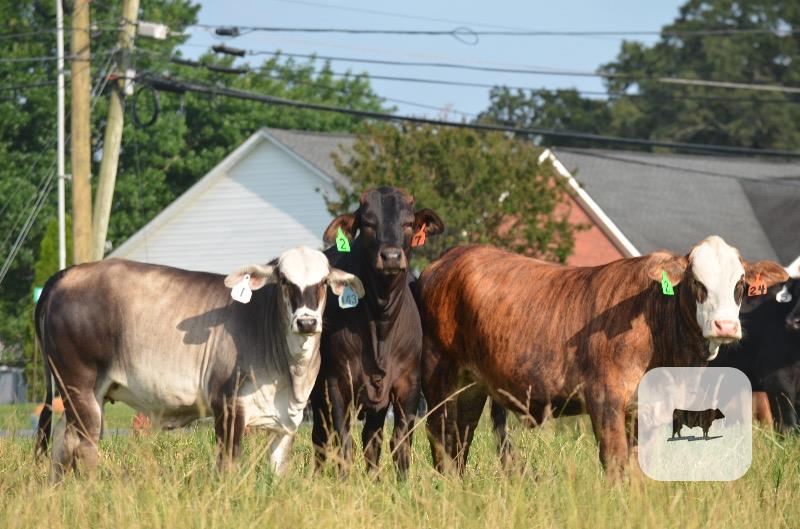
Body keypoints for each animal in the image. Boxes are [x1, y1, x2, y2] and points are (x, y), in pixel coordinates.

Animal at [34, 246, 364, 480]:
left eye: (323, 282)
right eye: (284, 280)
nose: (306, 321)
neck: (289, 371)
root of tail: (68, 274)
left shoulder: (287, 422)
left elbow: (278, 470)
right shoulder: (228, 406)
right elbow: (228, 467)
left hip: (82, 395)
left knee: (62, 442)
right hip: (81, 387)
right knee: (84, 445)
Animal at [310, 186, 444, 478]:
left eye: (408, 223)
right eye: (369, 223)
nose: (391, 256)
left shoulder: (408, 384)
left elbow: (400, 441)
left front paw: (403, 482)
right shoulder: (337, 382)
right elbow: (343, 440)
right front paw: (344, 480)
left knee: (372, 439)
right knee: (321, 437)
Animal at [416, 236, 787, 479]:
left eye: (740, 284)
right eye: (697, 283)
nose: (726, 326)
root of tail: (449, 258)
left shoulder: (650, 409)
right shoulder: (605, 399)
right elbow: (615, 461)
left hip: (472, 386)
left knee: (460, 440)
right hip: (438, 374)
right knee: (439, 437)